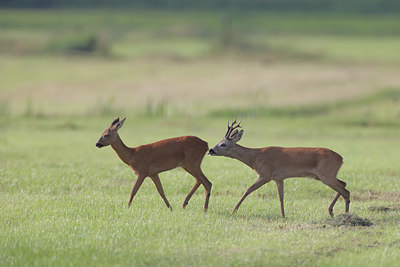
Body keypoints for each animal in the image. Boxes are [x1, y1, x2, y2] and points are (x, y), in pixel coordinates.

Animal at [209, 119, 350, 218]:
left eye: (223, 144)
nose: (211, 150)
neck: (255, 158)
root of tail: (341, 158)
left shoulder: (264, 175)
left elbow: (248, 190)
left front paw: (233, 210)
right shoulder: (279, 178)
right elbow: (281, 197)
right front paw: (283, 215)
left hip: (326, 175)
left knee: (346, 191)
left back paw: (344, 214)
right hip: (325, 176)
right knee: (344, 184)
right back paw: (332, 211)